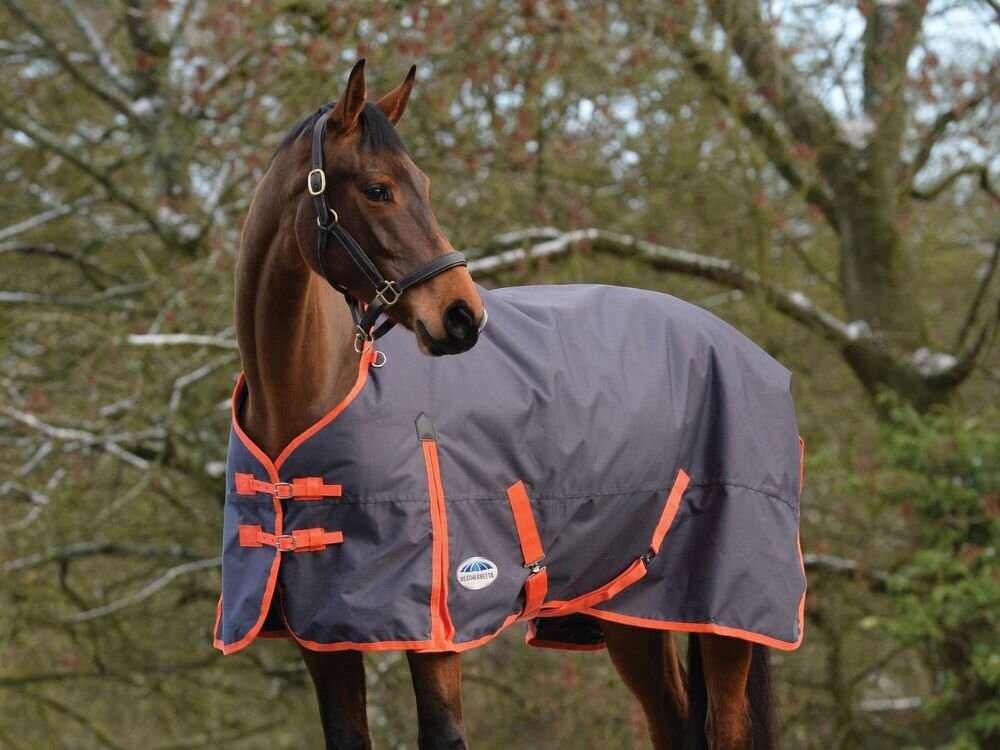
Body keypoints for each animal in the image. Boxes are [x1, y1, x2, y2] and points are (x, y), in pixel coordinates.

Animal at [218, 60, 804, 749]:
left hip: (725, 618)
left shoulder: (437, 626)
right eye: (377, 189)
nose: (462, 315)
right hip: (634, 610)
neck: (316, 393)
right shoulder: (323, 632)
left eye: (422, 183)